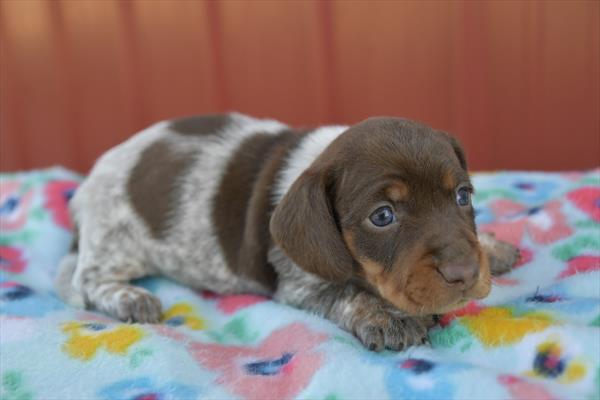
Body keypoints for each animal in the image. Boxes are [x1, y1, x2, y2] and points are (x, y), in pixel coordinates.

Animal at [54, 112, 516, 350]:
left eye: (462, 196)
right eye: (383, 216)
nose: (464, 274)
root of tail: (86, 187)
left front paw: (491, 246)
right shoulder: (299, 286)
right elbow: (348, 294)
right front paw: (385, 316)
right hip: (115, 241)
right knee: (84, 280)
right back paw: (130, 298)